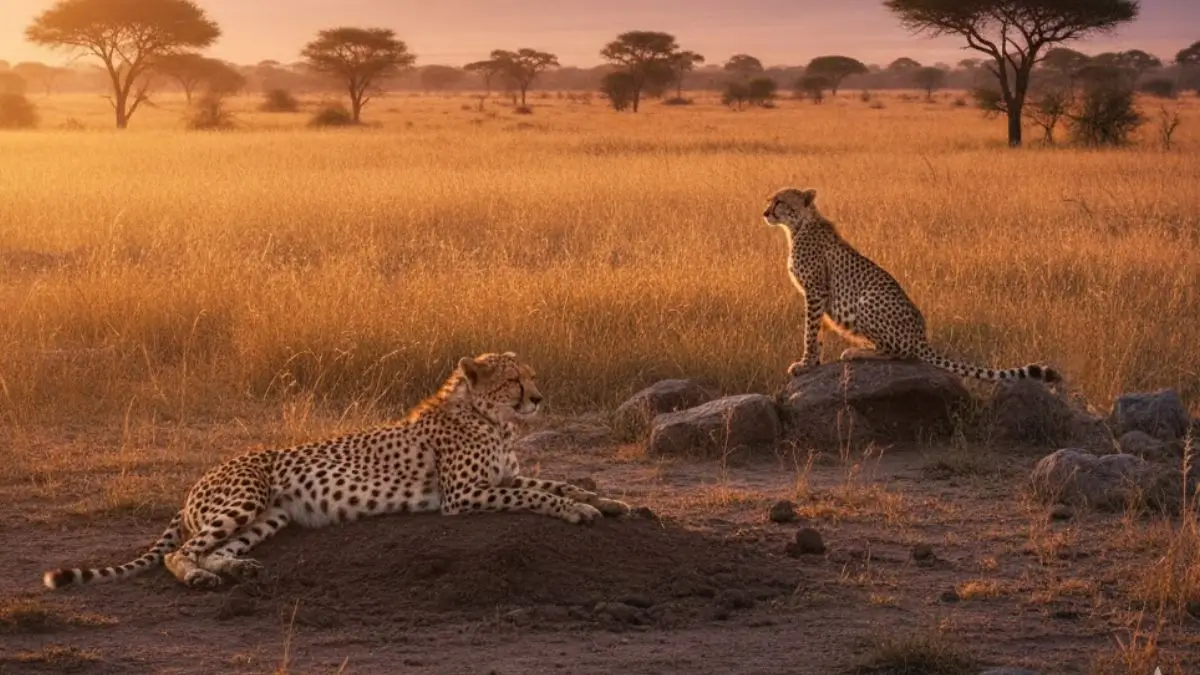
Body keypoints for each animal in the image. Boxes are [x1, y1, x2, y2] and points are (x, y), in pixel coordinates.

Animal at [43, 352, 631, 591]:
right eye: (513, 380)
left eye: (531, 376)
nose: (539, 398)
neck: (492, 420)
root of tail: (201, 477)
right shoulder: (463, 496)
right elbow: (539, 496)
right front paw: (577, 511)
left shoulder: (500, 478)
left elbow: (553, 482)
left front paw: (606, 501)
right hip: (244, 500)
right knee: (179, 553)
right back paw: (201, 579)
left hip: (271, 517)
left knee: (212, 548)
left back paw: (236, 570)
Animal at [762, 186, 1061, 384]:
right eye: (770, 201)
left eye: (779, 202)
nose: (765, 213)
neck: (798, 226)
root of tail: (922, 336)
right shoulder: (818, 295)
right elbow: (818, 331)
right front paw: (813, 362)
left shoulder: (815, 291)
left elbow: (809, 331)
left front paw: (804, 364)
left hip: (868, 299)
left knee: (899, 353)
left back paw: (857, 351)